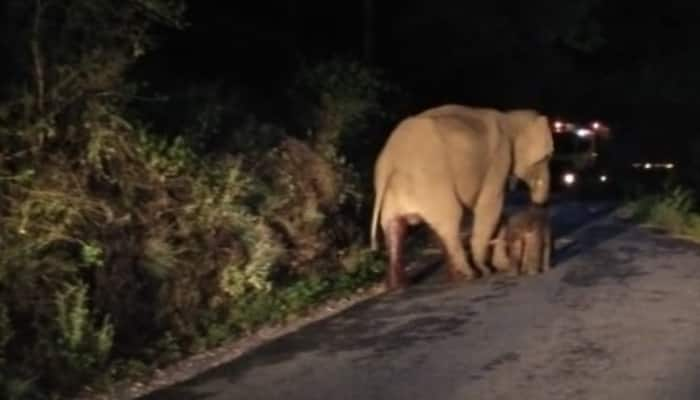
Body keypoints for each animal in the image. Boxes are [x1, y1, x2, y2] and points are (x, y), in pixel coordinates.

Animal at [370, 104, 556, 290]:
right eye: (546, 157)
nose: (539, 203)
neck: (508, 117)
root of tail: (389, 161)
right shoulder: (498, 162)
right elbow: (490, 208)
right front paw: (488, 269)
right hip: (431, 182)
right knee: (450, 221)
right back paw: (470, 275)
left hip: (399, 190)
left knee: (396, 227)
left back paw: (400, 286)